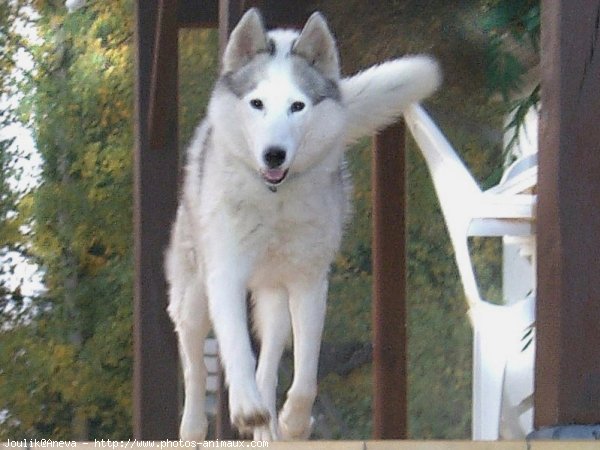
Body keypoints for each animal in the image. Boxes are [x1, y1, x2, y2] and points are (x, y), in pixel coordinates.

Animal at [166, 8, 438, 442]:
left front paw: (292, 420)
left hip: (274, 300)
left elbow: (307, 371)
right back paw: (195, 427)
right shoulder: (224, 274)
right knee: (193, 364)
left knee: (270, 358)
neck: (274, 202)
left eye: (297, 106)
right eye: (257, 103)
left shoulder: (309, 282)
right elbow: (236, 347)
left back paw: (269, 425)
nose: (274, 155)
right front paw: (245, 408)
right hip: (193, 298)